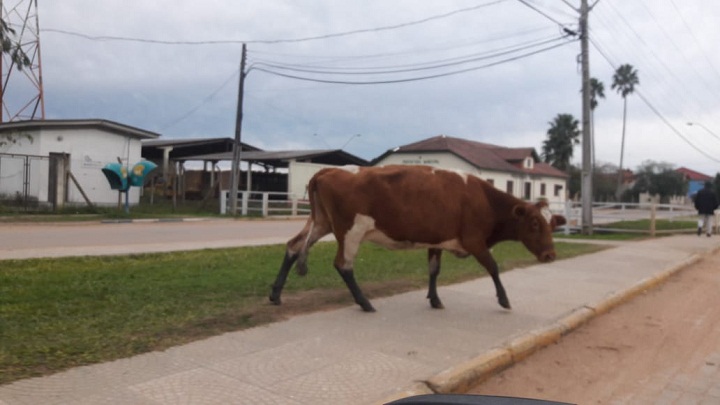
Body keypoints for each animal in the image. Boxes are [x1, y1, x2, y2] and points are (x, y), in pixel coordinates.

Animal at [268, 164, 564, 312]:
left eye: (552, 224)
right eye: (535, 223)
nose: (551, 255)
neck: (484, 200)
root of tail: (329, 170)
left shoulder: (438, 240)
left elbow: (434, 269)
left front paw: (434, 299)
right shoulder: (474, 241)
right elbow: (493, 267)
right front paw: (504, 300)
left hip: (321, 223)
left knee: (294, 247)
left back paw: (275, 294)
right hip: (350, 231)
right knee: (343, 265)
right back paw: (365, 303)